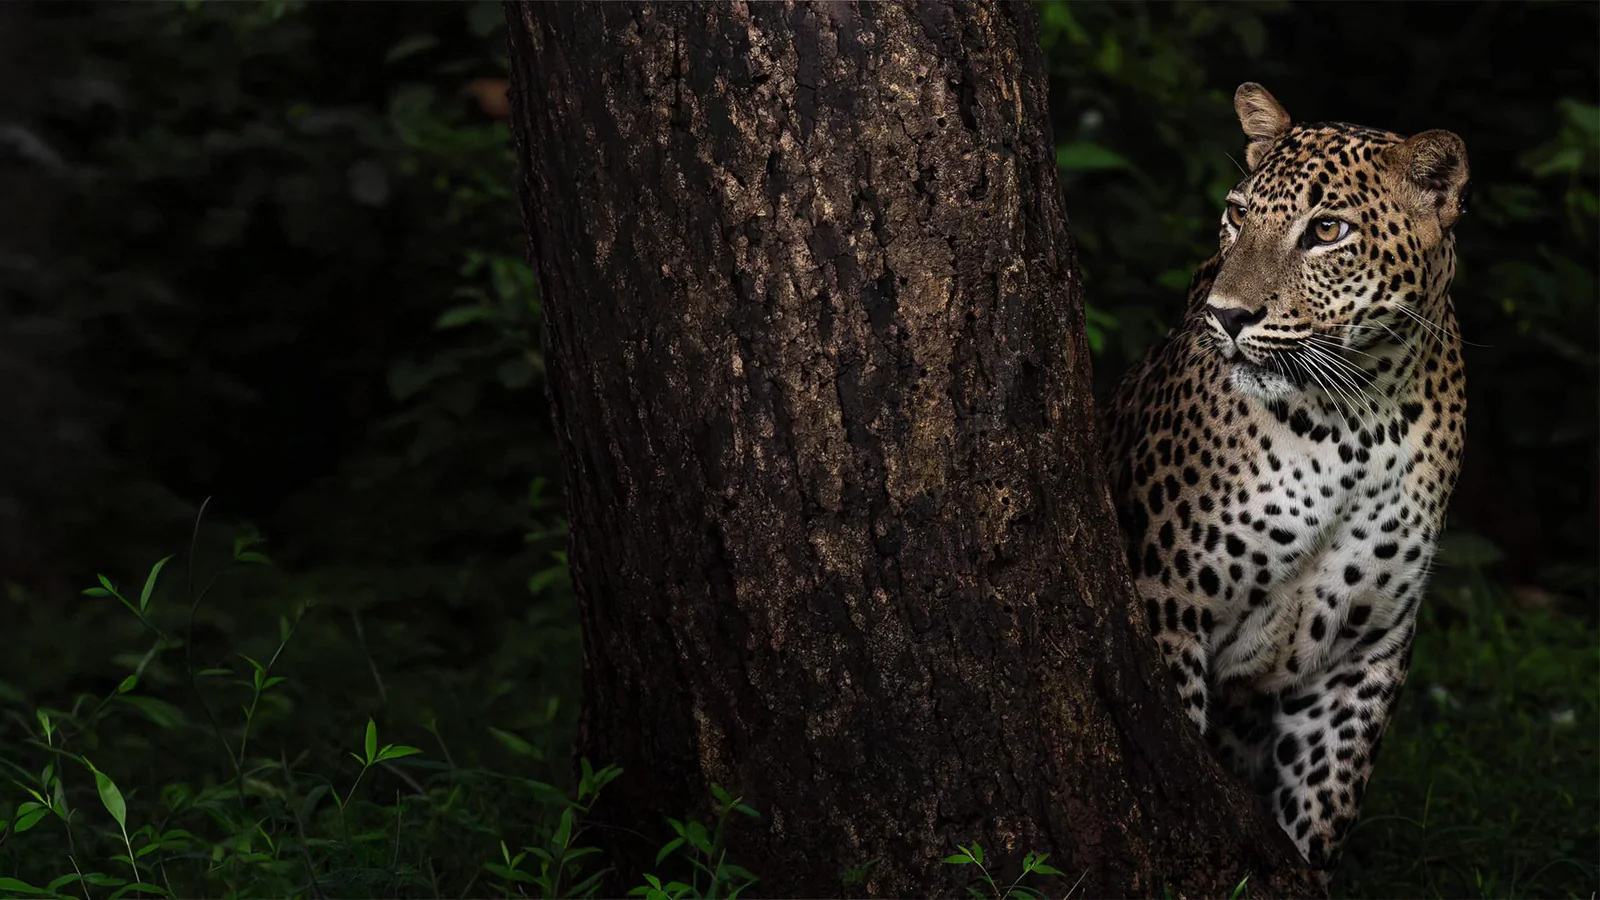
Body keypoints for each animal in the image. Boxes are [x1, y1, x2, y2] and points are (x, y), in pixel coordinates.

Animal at [1100, 83, 1470, 877]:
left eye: (1327, 229)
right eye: (1238, 213)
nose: (1227, 316)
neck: (1357, 420)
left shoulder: (1366, 650)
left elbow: (1325, 804)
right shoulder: (1170, 604)